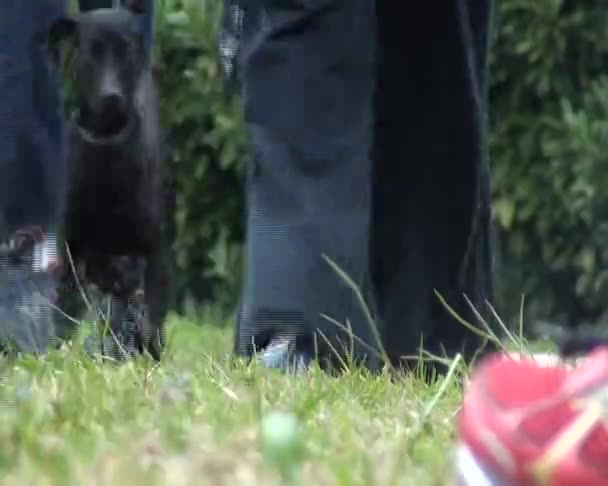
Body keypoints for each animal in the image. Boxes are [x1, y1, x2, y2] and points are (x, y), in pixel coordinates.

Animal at [46, 2, 171, 360]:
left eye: (125, 50)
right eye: (92, 52)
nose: (112, 96)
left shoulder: (154, 251)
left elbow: (153, 320)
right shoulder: (72, 250)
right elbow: (63, 316)